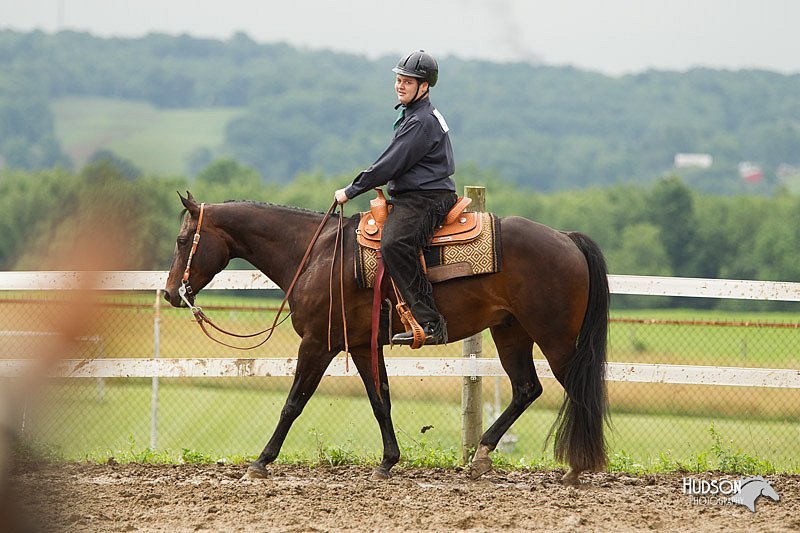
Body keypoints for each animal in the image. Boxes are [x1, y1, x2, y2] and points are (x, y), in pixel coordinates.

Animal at [164, 190, 612, 482]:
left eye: (182, 240)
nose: (170, 293)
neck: (317, 254)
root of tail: (566, 239)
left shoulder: (318, 344)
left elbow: (293, 404)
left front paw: (261, 462)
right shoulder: (363, 346)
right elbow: (380, 401)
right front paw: (388, 461)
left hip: (555, 339)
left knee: (576, 389)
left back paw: (576, 468)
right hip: (511, 333)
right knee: (526, 389)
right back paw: (481, 457)